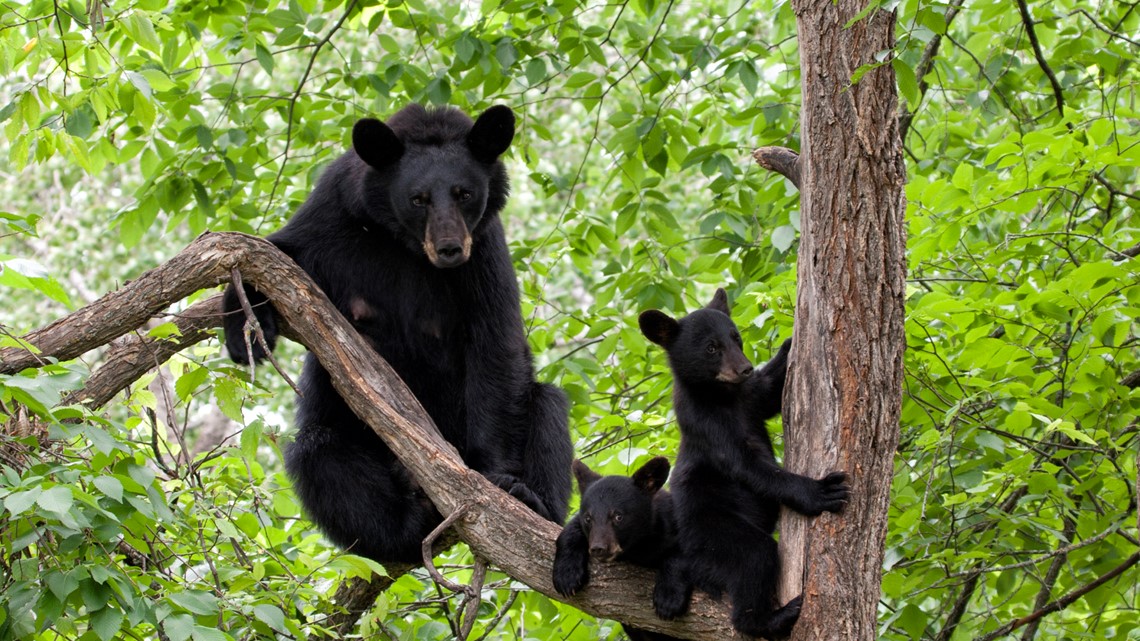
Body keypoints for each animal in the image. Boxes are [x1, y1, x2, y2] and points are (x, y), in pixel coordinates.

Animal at [222, 102, 574, 561]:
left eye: (464, 193)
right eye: (418, 198)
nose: (449, 249)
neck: (405, 244)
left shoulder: (485, 250)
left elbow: (496, 343)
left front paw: (499, 481)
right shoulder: (333, 213)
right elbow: (275, 251)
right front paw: (242, 330)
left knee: (547, 406)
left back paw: (534, 501)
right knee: (319, 454)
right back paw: (404, 526)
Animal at [554, 453, 679, 638]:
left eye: (618, 516)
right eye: (588, 518)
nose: (598, 548)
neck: (638, 545)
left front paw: (668, 599)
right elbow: (571, 530)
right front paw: (566, 576)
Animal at [638, 290, 852, 638]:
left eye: (736, 338)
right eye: (712, 347)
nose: (745, 368)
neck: (724, 397)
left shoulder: (750, 398)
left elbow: (770, 392)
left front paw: (789, 344)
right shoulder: (707, 425)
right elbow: (749, 466)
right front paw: (820, 491)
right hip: (713, 533)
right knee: (755, 556)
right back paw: (772, 617)